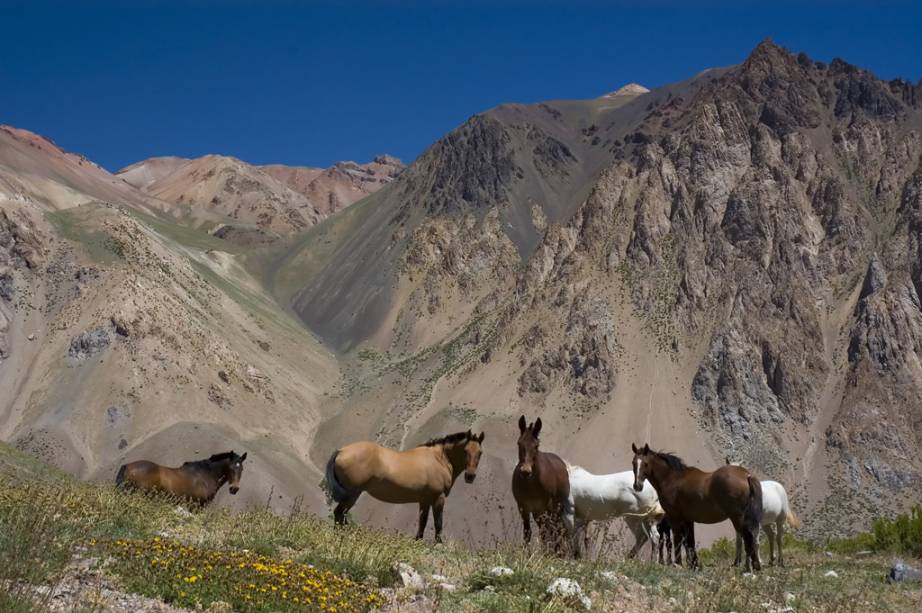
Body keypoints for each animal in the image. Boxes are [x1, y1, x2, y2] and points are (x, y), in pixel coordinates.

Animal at [324, 428, 486, 544]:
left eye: (480, 453)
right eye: (465, 451)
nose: (470, 476)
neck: (438, 459)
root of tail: (341, 451)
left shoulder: (424, 500)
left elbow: (423, 522)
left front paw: (418, 541)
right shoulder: (438, 498)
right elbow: (438, 522)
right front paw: (438, 544)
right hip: (352, 495)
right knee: (339, 514)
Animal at [510, 416, 576, 556]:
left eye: (536, 445)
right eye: (519, 443)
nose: (525, 471)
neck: (531, 486)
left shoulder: (548, 507)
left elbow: (550, 532)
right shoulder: (523, 507)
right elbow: (527, 533)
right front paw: (527, 555)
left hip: (554, 509)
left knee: (556, 529)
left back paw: (558, 552)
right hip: (538, 512)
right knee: (546, 530)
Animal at [624, 444, 760, 568]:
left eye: (646, 463)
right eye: (633, 463)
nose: (637, 486)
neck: (673, 479)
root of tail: (746, 475)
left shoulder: (675, 518)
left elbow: (677, 539)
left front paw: (678, 563)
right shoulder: (688, 519)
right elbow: (690, 542)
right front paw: (694, 565)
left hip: (737, 518)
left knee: (748, 537)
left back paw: (749, 568)